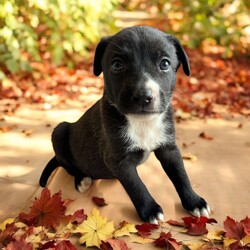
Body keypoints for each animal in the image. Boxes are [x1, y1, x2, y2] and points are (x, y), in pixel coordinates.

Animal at [39, 25, 211, 224]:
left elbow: (181, 175)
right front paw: (151, 210)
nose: (143, 96)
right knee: (67, 164)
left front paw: (194, 201)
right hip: (60, 132)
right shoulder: (119, 160)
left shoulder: (169, 148)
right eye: (117, 64)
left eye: (165, 64)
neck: (142, 122)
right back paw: (82, 179)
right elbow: (136, 186)